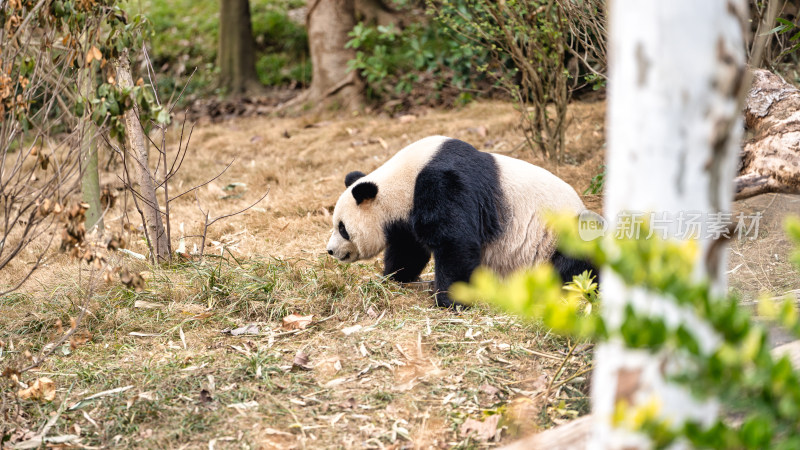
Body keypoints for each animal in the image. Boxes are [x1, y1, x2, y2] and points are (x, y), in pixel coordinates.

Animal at [324, 135, 592, 308]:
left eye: (342, 228)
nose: (330, 250)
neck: (401, 180)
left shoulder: (444, 185)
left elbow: (455, 242)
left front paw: (450, 300)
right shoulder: (407, 215)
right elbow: (409, 249)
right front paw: (393, 278)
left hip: (561, 235)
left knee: (575, 264)